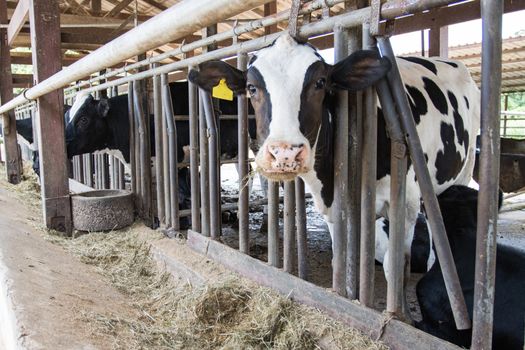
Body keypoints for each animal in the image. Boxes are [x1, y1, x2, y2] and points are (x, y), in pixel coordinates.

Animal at [190, 34, 482, 282]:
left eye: (320, 83)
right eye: (251, 88)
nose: (285, 153)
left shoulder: (407, 204)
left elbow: (394, 265)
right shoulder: (334, 209)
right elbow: (342, 259)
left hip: (461, 174)